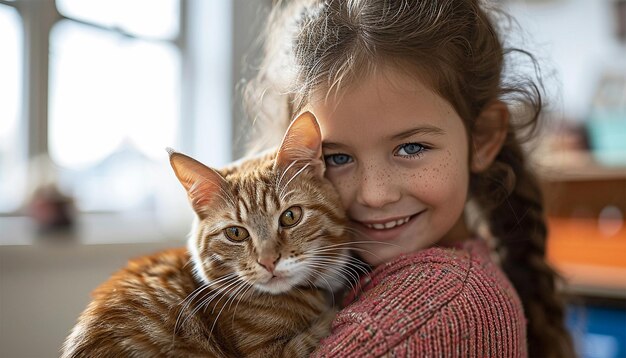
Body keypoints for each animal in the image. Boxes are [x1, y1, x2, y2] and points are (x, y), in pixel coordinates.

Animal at [61, 112, 354, 358]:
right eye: (235, 233)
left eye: (290, 216)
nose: (269, 261)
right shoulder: (269, 353)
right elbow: (317, 330)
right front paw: (334, 309)